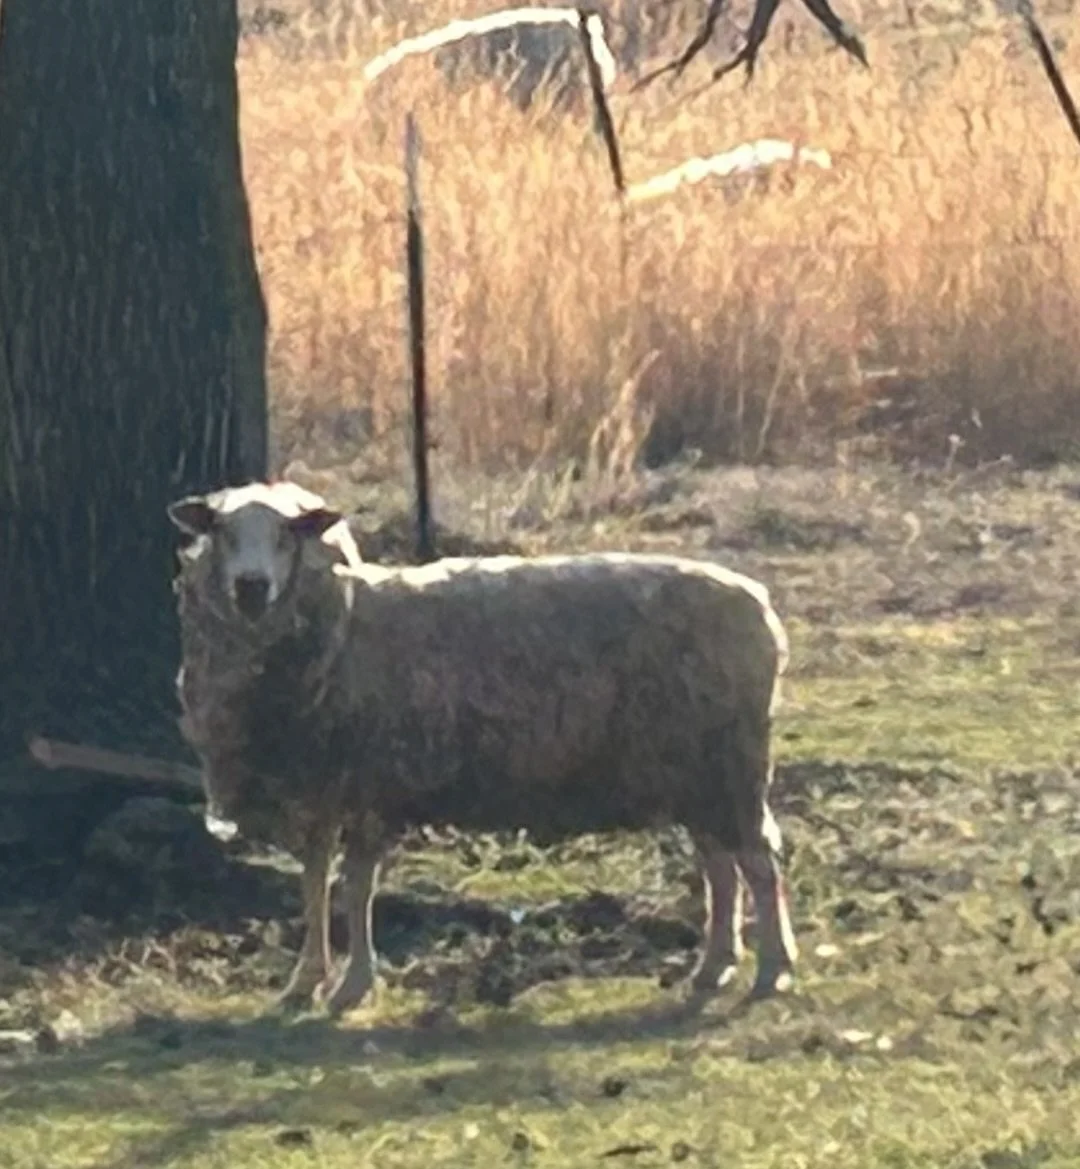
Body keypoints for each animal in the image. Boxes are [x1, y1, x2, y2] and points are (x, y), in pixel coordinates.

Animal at [168, 481, 798, 1016]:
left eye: (287, 535)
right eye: (222, 532)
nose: (252, 586)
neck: (343, 627)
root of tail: (762, 606)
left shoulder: (368, 783)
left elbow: (356, 885)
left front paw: (351, 985)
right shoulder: (318, 786)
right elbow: (315, 881)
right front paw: (305, 982)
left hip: (731, 763)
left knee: (757, 863)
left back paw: (772, 969)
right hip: (695, 770)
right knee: (720, 866)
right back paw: (713, 967)